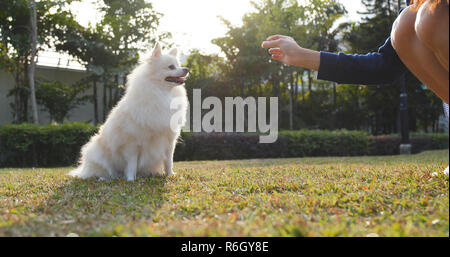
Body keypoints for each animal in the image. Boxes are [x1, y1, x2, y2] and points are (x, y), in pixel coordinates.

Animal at [69, 42, 189, 180]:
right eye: (171, 67)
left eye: (179, 65)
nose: (187, 69)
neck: (162, 94)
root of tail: (84, 169)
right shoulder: (132, 144)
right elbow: (132, 164)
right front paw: (131, 180)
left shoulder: (169, 140)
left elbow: (169, 161)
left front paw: (170, 174)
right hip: (98, 154)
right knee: (106, 171)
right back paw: (108, 178)